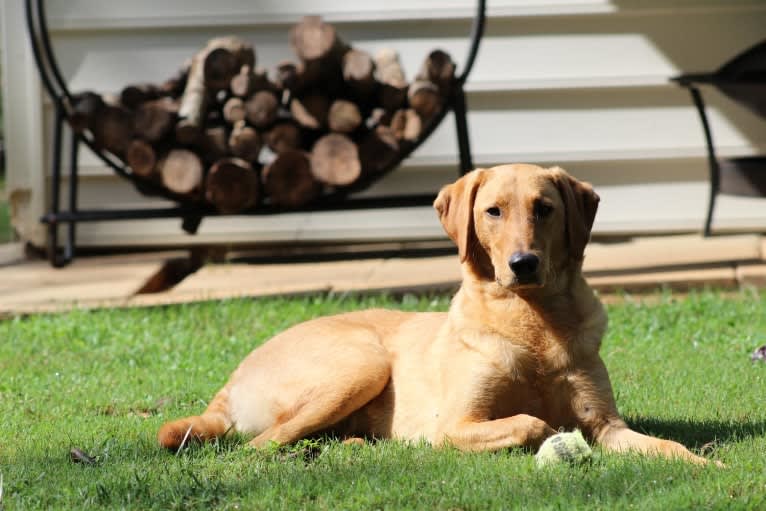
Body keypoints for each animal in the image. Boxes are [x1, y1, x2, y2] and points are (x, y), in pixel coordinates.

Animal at [158, 163, 712, 464]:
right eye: (493, 211)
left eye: (544, 208)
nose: (524, 264)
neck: (533, 322)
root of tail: (232, 379)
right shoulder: (454, 425)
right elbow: (532, 422)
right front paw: (551, 434)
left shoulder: (608, 425)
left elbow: (664, 446)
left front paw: (707, 465)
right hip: (360, 363)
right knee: (260, 445)